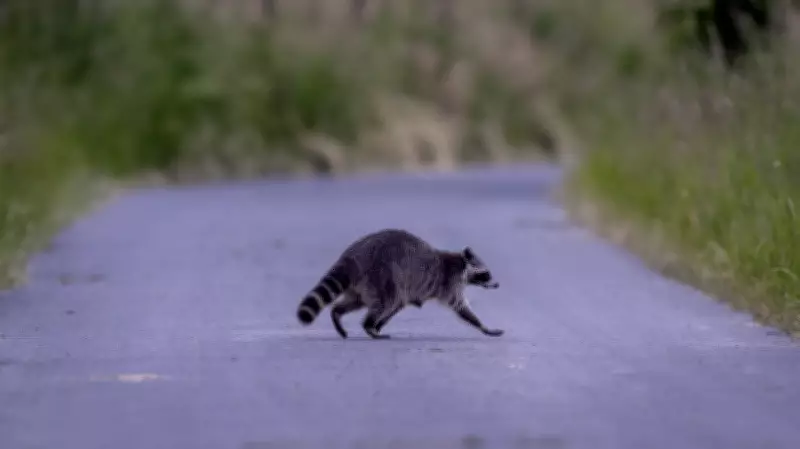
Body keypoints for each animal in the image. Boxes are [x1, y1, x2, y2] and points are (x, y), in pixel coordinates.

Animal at [295, 228, 503, 339]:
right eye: (486, 274)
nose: (497, 285)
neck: (461, 265)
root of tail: (353, 254)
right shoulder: (450, 283)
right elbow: (461, 308)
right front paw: (484, 327)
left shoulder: (410, 291)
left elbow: (399, 306)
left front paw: (381, 324)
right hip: (382, 275)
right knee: (386, 301)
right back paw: (369, 325)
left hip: (363, 284)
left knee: (359, 302)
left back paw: (338, 314)